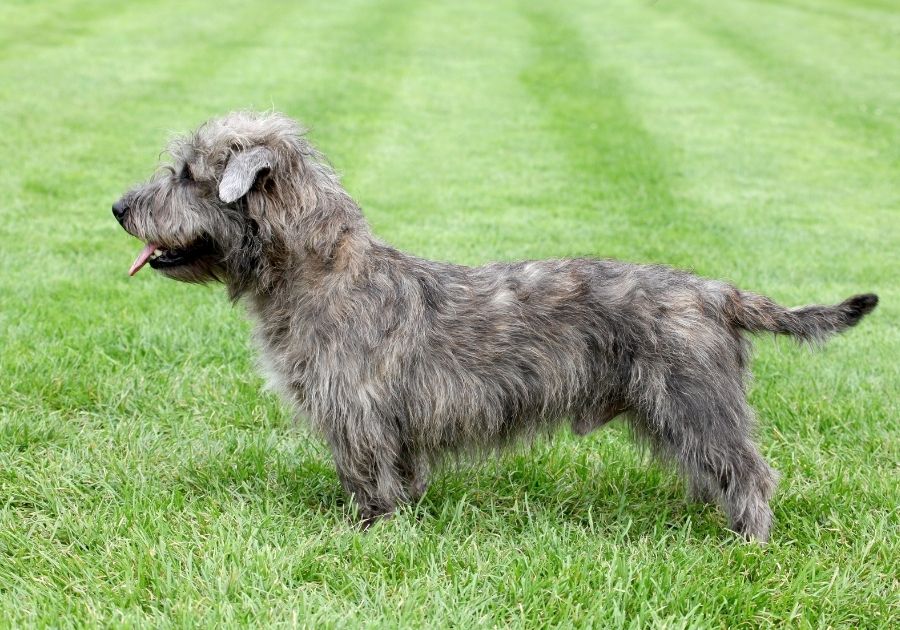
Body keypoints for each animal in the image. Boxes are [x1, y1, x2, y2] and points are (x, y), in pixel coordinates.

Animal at [112, 111, 880, 540]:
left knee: (750, 470)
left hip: (695, 401)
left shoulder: (358, 413)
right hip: (679, 411)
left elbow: (368, 476)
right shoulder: (389, 422)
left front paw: (368, 534)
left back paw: (748, 540)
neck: (318, 271)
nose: (119, 208)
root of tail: (716, 291)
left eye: (187, 175)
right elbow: (400, 473)